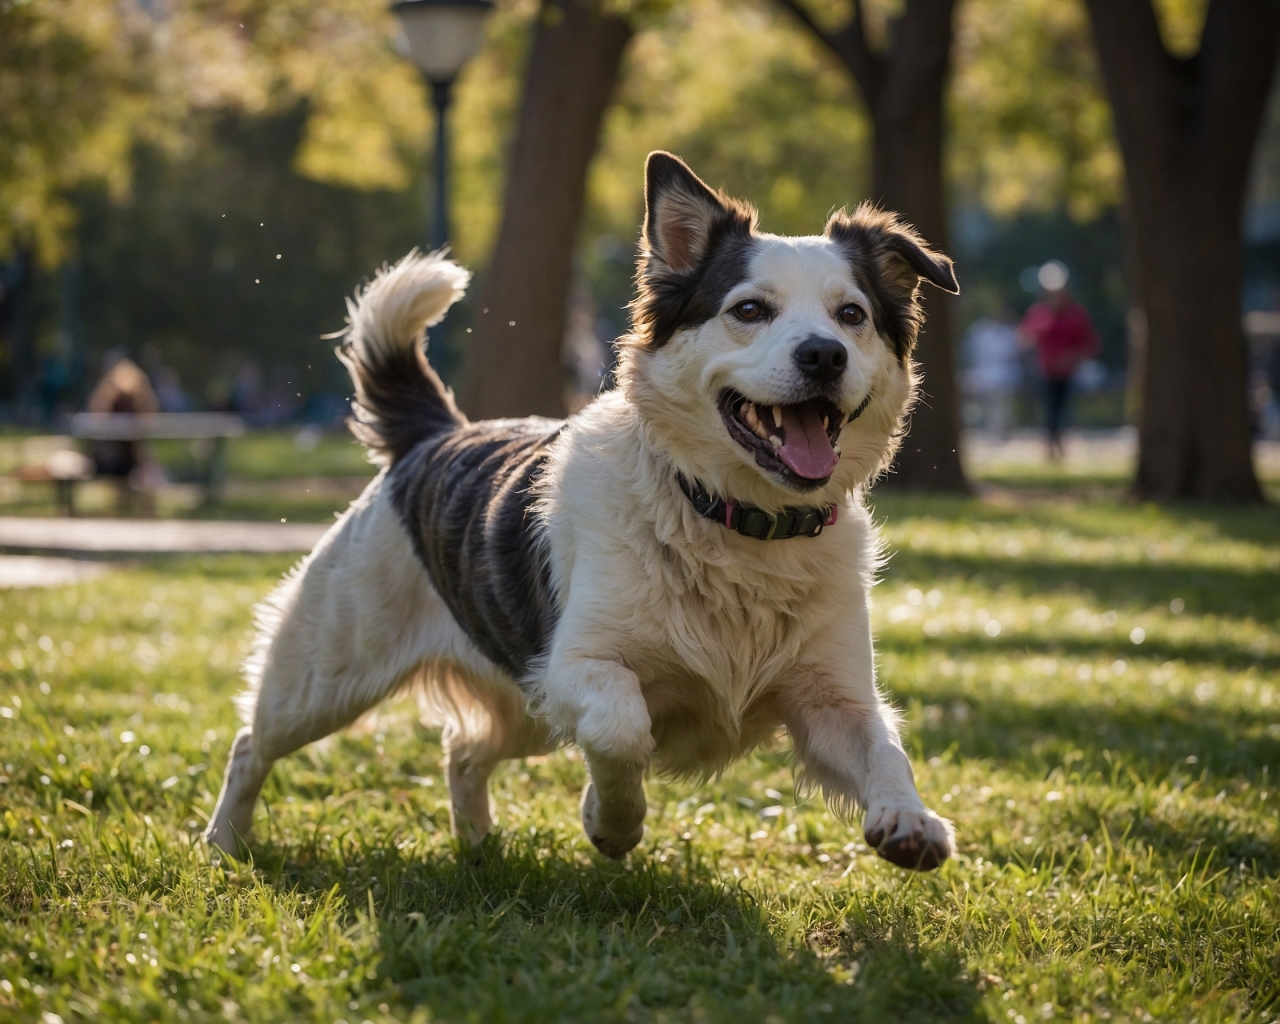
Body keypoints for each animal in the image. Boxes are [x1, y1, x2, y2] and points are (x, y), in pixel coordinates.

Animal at [202, 152, 962, 870]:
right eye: (749, 311)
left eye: (852, 315)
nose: (824, 355)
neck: (732, 516)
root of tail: (436, 434)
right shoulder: (568, 666)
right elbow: (622, 727)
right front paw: (611, 821)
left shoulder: (833, 700)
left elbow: (884, 747)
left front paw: (909, 820)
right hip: (325, 675)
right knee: (250, 743)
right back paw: (223, 842)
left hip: (520, 707)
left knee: (463, 750)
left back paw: (478, 847)